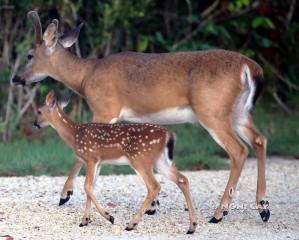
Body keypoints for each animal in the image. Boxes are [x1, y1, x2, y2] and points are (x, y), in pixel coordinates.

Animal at [12, 10, 270, 223]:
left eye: (29, 55)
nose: (16, 78)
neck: (85, 77)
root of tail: (250, 68)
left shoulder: (105, 108)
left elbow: (83, 155)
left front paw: (65, 195)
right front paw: (153, 206)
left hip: (212, 111)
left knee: (239, 150)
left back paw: (219, 213)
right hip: (239, 112)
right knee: (259, 140)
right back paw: (263, 208)